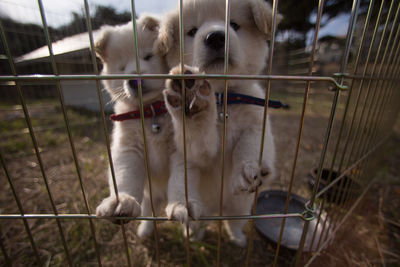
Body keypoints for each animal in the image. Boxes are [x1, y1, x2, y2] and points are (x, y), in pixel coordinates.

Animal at [96, 15, 173, 239]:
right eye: (121, 68)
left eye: (148, 56)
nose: (133, 79)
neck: (151, 111)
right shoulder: (129, 149)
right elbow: (125, 176)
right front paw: (122, 201)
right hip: (150, 194)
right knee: (149, 209)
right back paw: (145, 230)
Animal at [158, 0, 280, 247]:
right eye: (192, 31)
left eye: (233, 24)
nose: (215, 37)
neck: (223, 98)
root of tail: (216, 209)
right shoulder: (199, 152)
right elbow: (198, 134)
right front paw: (192, 104)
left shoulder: (257, 122)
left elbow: (249, 143)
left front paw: (247, 169)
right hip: (191, 189)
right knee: (190, 205)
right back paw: (189, 221)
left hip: (241, 207)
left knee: (233, 222)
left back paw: (238, 238)